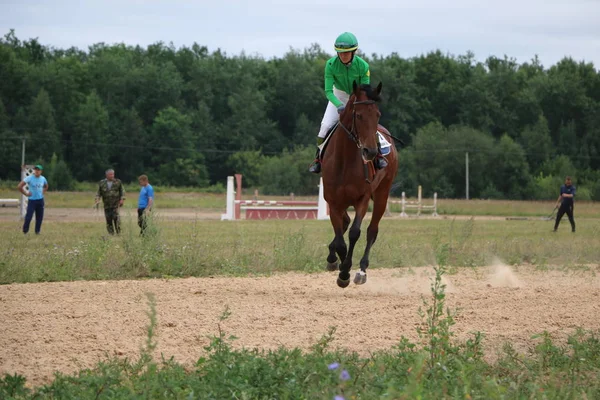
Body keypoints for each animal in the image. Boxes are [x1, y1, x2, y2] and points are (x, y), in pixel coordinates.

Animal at [322, 81, 400, 288]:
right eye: (359, 115)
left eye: (377, 114)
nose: (371, 151)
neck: (345, 160)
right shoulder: (333, 201)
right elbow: (341, 239)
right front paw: (341, 268)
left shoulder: (362, 198)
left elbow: (355, 233)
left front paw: (346, 271)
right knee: (344, 224)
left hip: (382, 193)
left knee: (372, 230)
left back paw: (361, 271)